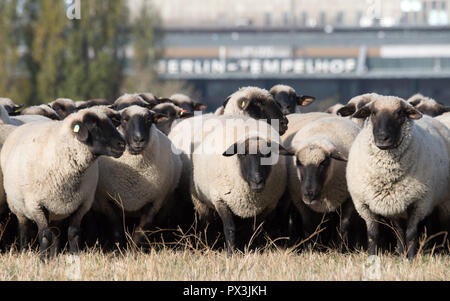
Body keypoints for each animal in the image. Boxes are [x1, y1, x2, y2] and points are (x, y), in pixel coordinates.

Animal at [1, 109, 126, 254]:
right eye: (94, 125)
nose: (122, 144)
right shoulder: (36, 205)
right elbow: (44, 235)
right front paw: (42, 258)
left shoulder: (82, 204)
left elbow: (73, 233)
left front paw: (75, 255)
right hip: (18, 207)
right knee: (24, 230)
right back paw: (24, 251)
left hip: (57, 210)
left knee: (55, 233)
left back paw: (54, 255)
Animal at [94, 104, 182, 243]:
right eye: (124, 120)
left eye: (149, 120)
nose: (139, 139)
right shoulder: (107, 202)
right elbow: (117, 230)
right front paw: (118, 247)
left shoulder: (154, 203)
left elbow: (140, 233)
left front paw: (134, 248)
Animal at [189, 113, 292, 252]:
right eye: (242, 154)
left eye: (268, 154)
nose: (257, 181)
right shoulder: (221, 200)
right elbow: (230, 229)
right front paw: (230, 253)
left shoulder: (267, 206)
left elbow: (254, 229)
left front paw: (251, 249)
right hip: (202, 203)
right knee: (208, 224)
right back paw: (209, 245)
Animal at [346, 94, 448, 258]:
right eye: (373, 113)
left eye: (400, 113)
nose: (382, 138)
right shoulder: (364, 204)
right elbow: (373, 234)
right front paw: (372, 256)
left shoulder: (419, 202)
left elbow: (411, 234)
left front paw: (411, 258)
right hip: (396, 205)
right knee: (399, 231)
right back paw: (401, 254)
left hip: (440, 202)